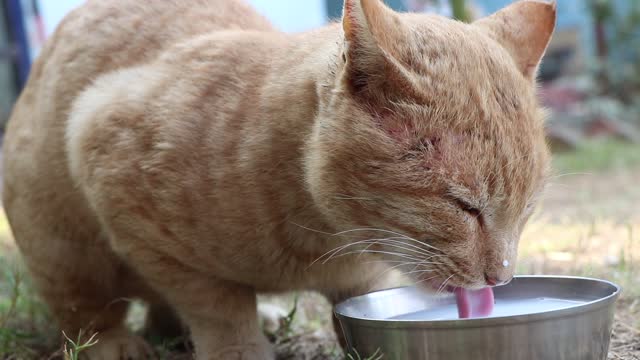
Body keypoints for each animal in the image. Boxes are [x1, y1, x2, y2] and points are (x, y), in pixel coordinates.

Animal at [2, 0, 556, 358]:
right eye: (463, 205)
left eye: (527, 210)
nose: (500, 277)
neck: (320, 240)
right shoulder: (106, 153)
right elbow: (214, 304)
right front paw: (239, 348)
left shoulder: (361, 278)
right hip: (61, 240)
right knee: (86, 305)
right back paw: (115, 341)